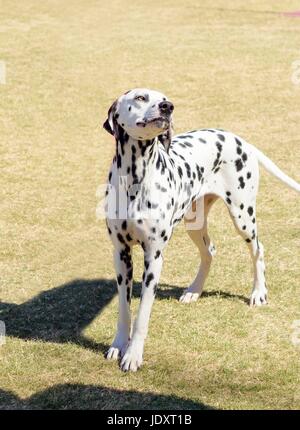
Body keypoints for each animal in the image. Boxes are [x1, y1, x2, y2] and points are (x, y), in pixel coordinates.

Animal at [102, 87, 298, 370]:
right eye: (140, 97)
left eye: (163, 98)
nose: (168, 107)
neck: (135, 179)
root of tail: (239, 139)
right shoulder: (121, 255)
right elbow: (124, 311)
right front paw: (118, 345)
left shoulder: (154, 258)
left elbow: (142, 316)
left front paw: (133, 355)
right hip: (193, 224)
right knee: (210, 251)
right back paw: (194, 291)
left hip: (243, 217)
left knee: (258, 249)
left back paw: (258, 293)